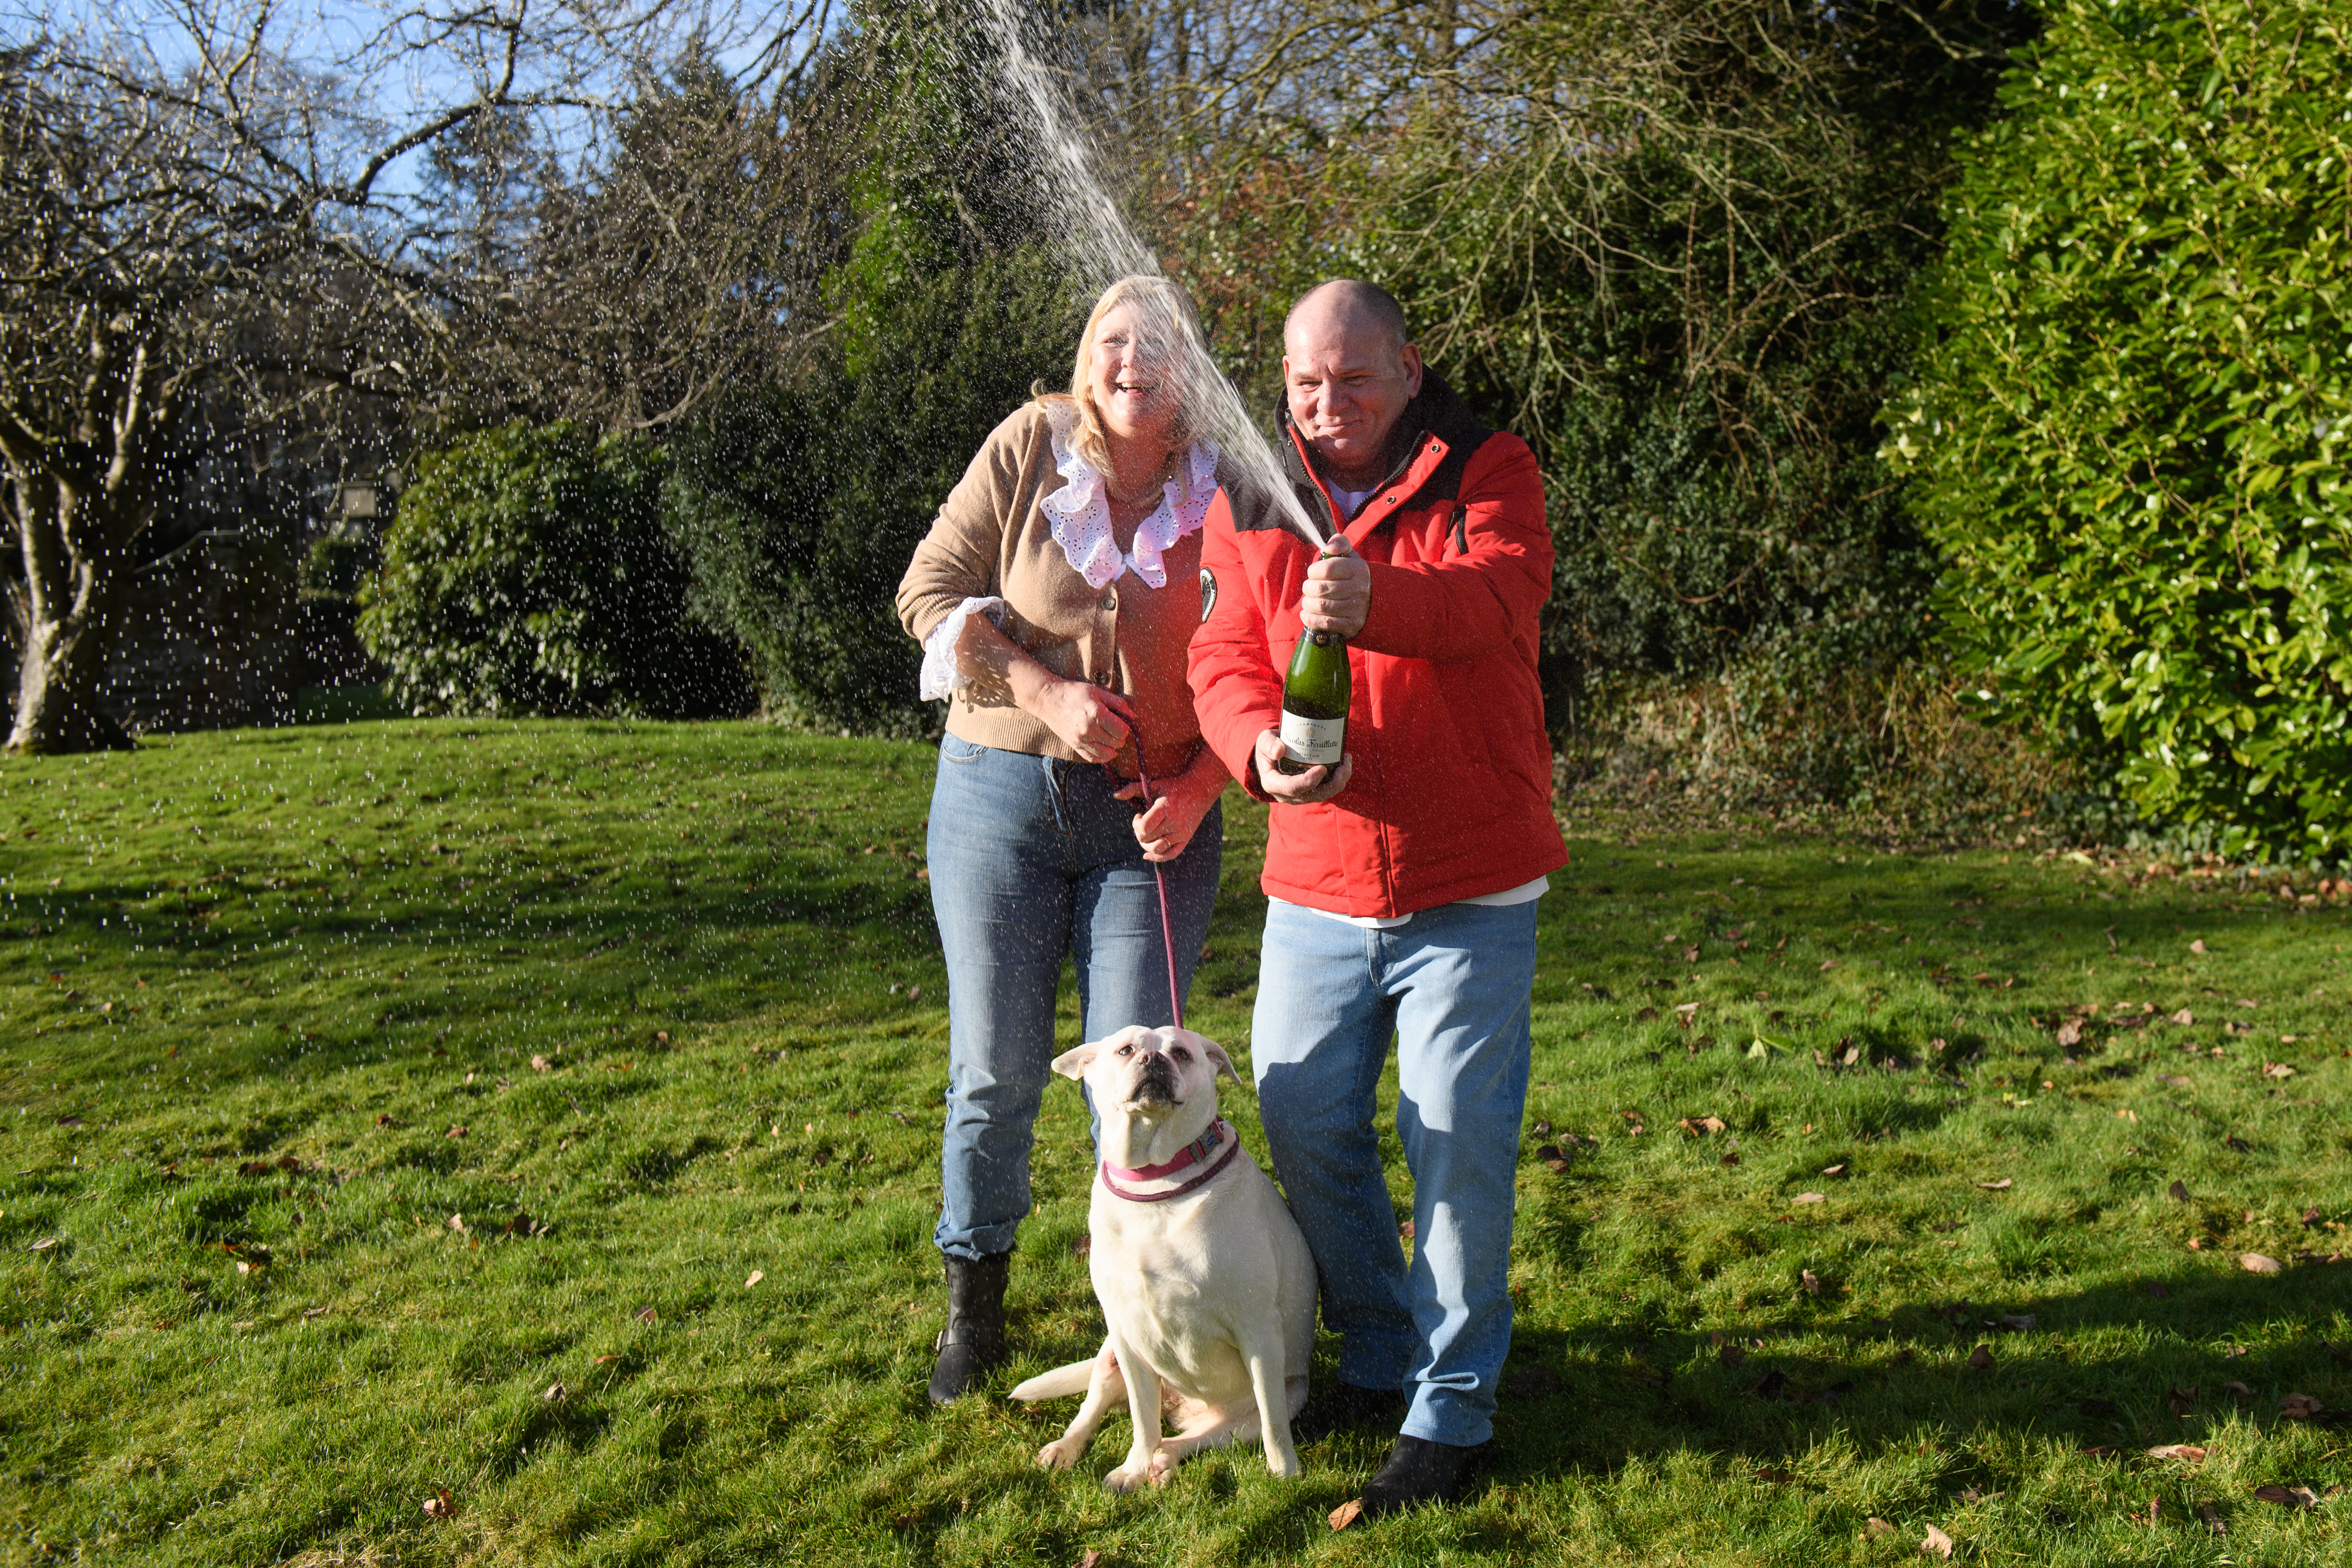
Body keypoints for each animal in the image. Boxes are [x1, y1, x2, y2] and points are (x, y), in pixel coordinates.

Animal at [1002, 1025, 1317, 1495]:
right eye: (1126, 1049)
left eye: (1182, 1053)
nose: (1153, 1060)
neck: (1157, 1182)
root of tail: (1184, 1408)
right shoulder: (1127, 1337)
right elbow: (1142, 1420)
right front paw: (1131, 1469)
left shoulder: (1258, 1332)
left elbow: (1274, 1425)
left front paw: (1285, 1475)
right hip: (1109, 1356)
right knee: (1101, 1412)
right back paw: (1070, 1448)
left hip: (1267, 1405)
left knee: (1198, 1437)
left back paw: (1165, 1462)